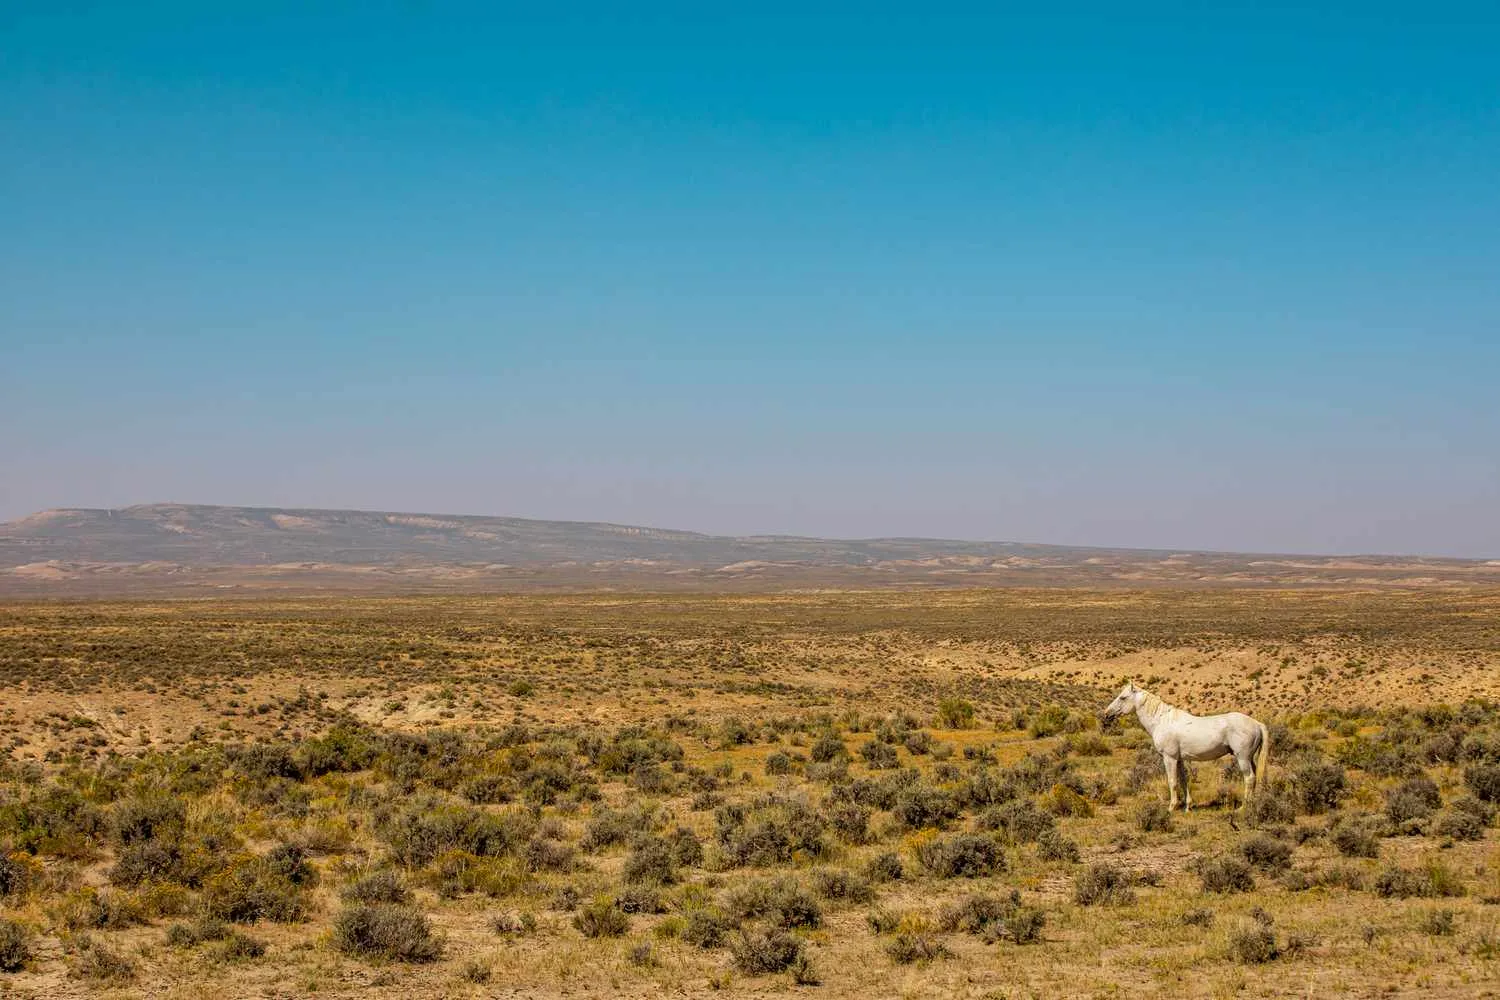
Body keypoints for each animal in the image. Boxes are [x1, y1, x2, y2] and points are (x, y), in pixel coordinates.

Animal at [1104, 680, 1266, 815]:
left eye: (1123, 697)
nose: (1106, 713)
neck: (1162, 721)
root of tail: (1257, 724)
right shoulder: (1179, 759)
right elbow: (1183, 780)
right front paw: (1188, 806)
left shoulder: (1169, 758)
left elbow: (1172, 781)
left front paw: (1171, 808)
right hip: (1249, 758)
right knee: (1254, 776)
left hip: (1242, 758)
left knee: (1249, 778)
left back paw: (1244, 807)